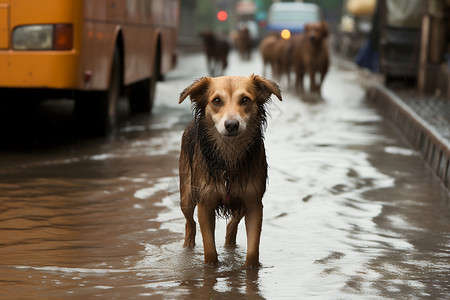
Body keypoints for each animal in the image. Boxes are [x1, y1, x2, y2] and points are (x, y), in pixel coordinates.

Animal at [178, 74, 282, 268]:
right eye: (217, 101)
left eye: (245, 100)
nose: (232, 125)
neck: (229, 158)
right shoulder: (205, 203)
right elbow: (210, 250)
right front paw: (211, 268)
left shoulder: (254, 202)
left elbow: (252, 251)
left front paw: (250, 269)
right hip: (186, 195)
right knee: (190, 223)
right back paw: (188, 249)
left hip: (241, 199)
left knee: (231, 225)